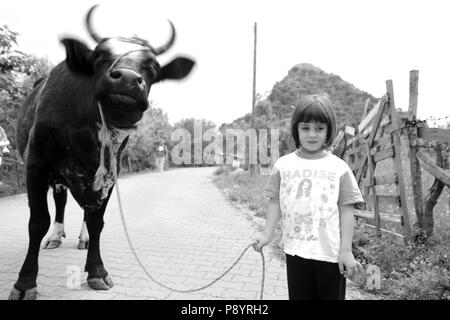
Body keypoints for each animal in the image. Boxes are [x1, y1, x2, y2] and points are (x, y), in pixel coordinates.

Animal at [9, 5, 195, 300]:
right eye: (99, 56)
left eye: (153, 66)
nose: (128, 79)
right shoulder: (36, 164)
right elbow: (37, 221)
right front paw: (25, 283)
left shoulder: (110, 172)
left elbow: (97, 221)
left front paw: (96, 271)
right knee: (60, 203)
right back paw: (55, 236)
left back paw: (82, 239)